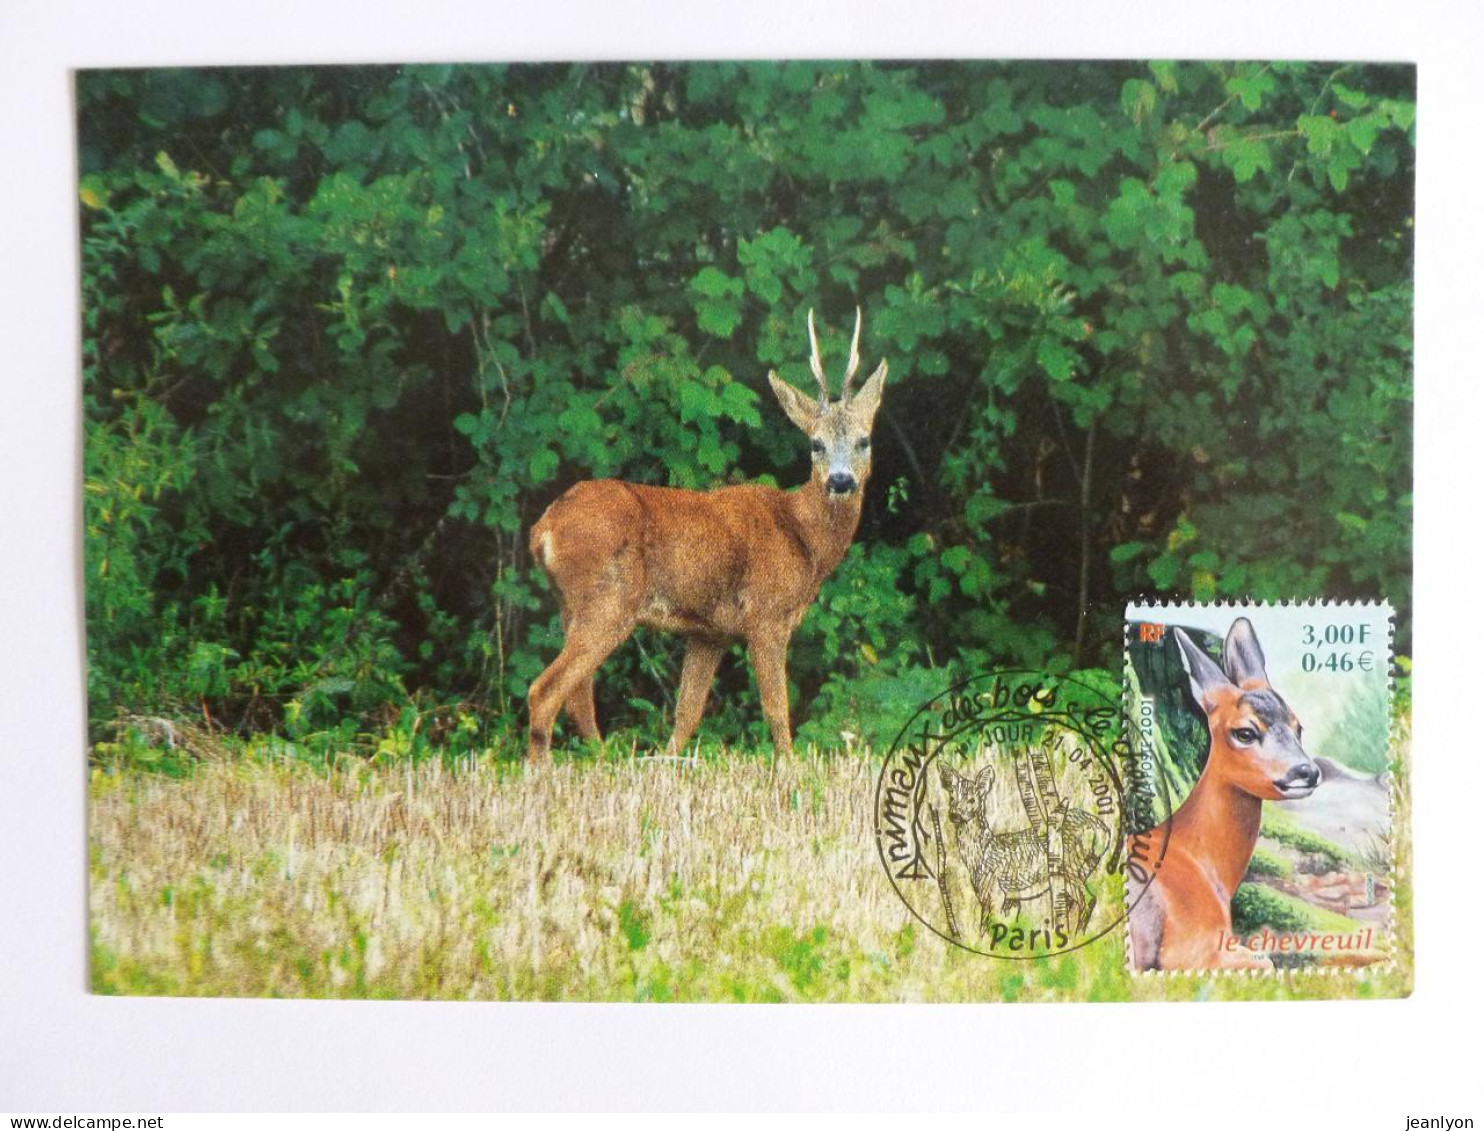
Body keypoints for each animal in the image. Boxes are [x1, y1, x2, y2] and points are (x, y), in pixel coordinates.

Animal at [528, 310, 884, 756]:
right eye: (816, 443)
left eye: (864, 440)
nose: (840, 481)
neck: (803, 537)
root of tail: (544, 528)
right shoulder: (765, 616)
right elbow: (777, 713)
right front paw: (789, 766)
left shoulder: (709, 633)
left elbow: (686, 715)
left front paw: (667, 764)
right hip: (607, 600)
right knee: (545, 691)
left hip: (570, 606)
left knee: (577, 694)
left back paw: (602, 759)